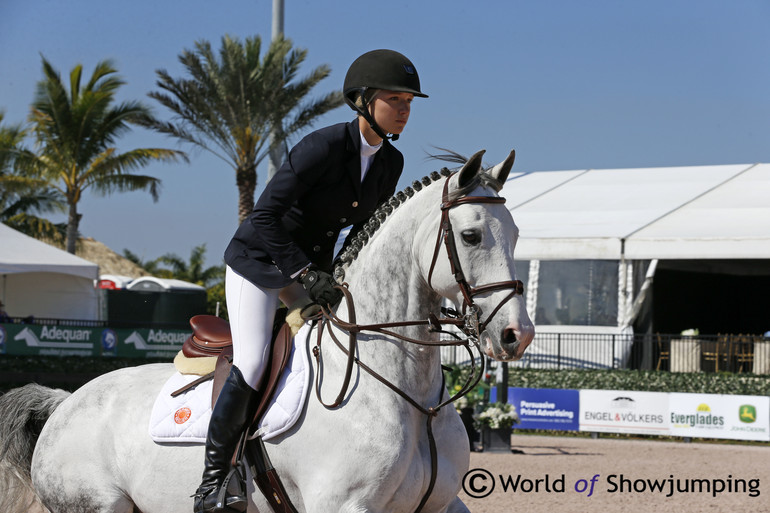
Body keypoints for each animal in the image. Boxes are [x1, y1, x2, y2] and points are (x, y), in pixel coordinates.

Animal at [0, 149, 528, 512]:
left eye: (518, 234)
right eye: (470, 236)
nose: (515, 335)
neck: (410, 400)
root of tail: (64, 402)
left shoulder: (441, 504)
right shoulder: (343, 506)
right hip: (94, 504)